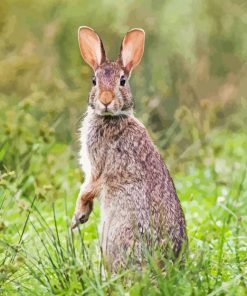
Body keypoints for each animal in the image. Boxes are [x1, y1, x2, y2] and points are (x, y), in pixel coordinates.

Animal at [71, 26, 187, 272]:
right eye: (94, 81)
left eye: (122, 81)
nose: (106, 100)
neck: (112, 117)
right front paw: (81, 217)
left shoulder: (98, 167)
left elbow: (88, 189)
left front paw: (77, 217)